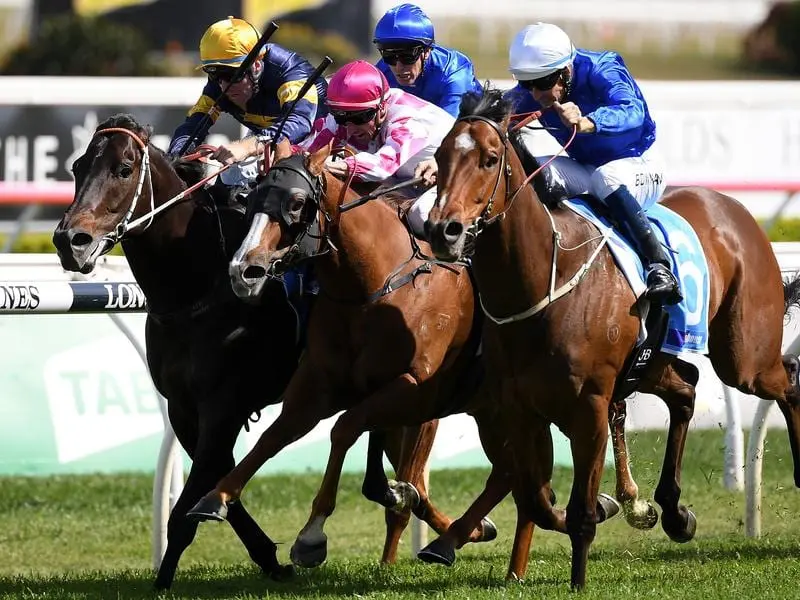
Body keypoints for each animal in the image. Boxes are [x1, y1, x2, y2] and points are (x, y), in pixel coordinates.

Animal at [48, 115, 438, 588]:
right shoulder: (183, 407)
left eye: (124, 169)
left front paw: (164, 580)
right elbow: (218, 476)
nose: (70, 241)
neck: (198, 288)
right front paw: (269, 556)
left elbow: (189, 505)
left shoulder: (223, 404)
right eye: (77, 167)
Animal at [428, 90, 800, 592]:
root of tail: (734, 207)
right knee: (686, 390)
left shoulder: (590, 406)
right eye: (439, 157)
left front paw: (579, 579)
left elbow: (578, 509)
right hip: (653, 361)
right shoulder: (518, 407)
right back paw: (674, 512)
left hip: (745, 358)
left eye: (489, 159)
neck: (543, 281)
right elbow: (536, 498)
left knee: (788, 380)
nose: (441, 230)